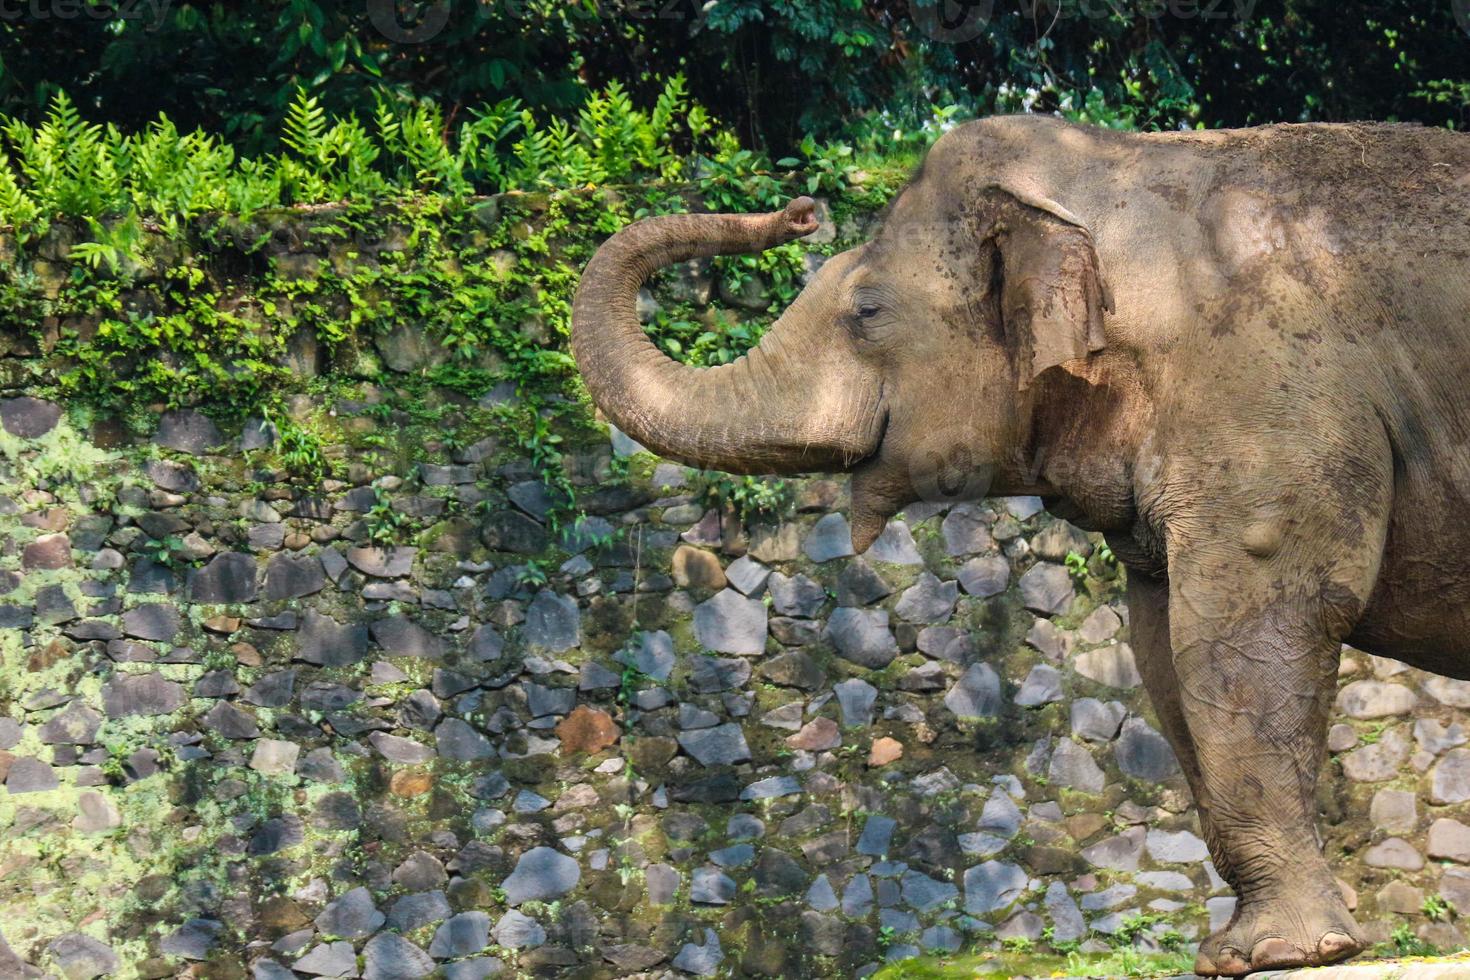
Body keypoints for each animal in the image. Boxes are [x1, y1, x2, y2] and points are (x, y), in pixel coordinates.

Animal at [567, 115, 1470, 975]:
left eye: (866, 311)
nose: (799, 210)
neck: (1127, 169)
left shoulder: (1271, 398)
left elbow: (1250, 628)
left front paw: (1276, 954)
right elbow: (1162, 653)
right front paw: (1242, 950)